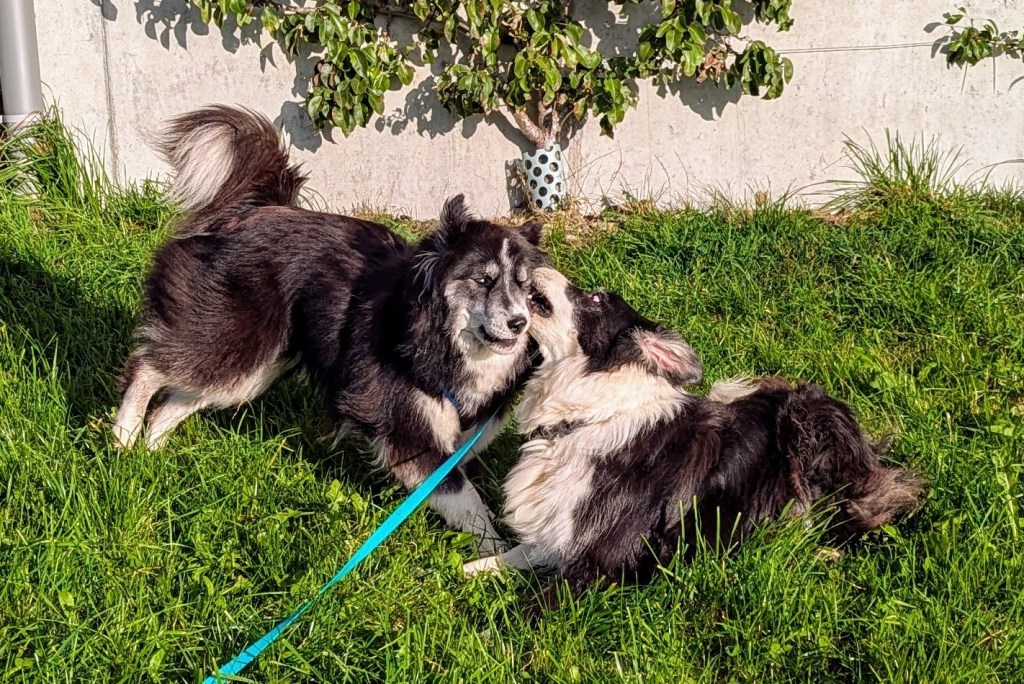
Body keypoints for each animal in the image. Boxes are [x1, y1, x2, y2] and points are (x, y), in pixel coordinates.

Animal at [112, 106, 548, 553]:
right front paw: (497, 554)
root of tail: (257, 210)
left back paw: (152, 454)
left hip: (253, 368)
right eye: (483, 280)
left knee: (174, 400)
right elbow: (467, 499)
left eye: (525, 285)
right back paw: (124, 437)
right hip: (235, 337)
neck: (439, 338)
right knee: (148, 366)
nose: (519, 323)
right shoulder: (408, 427)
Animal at [463, 268, 923, 589]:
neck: (582, 417)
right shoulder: (560, 536)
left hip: (807, 422)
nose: (531, 271)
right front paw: (470, 568)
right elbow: (516, 554)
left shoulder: (605, 561)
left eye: (595, 298)